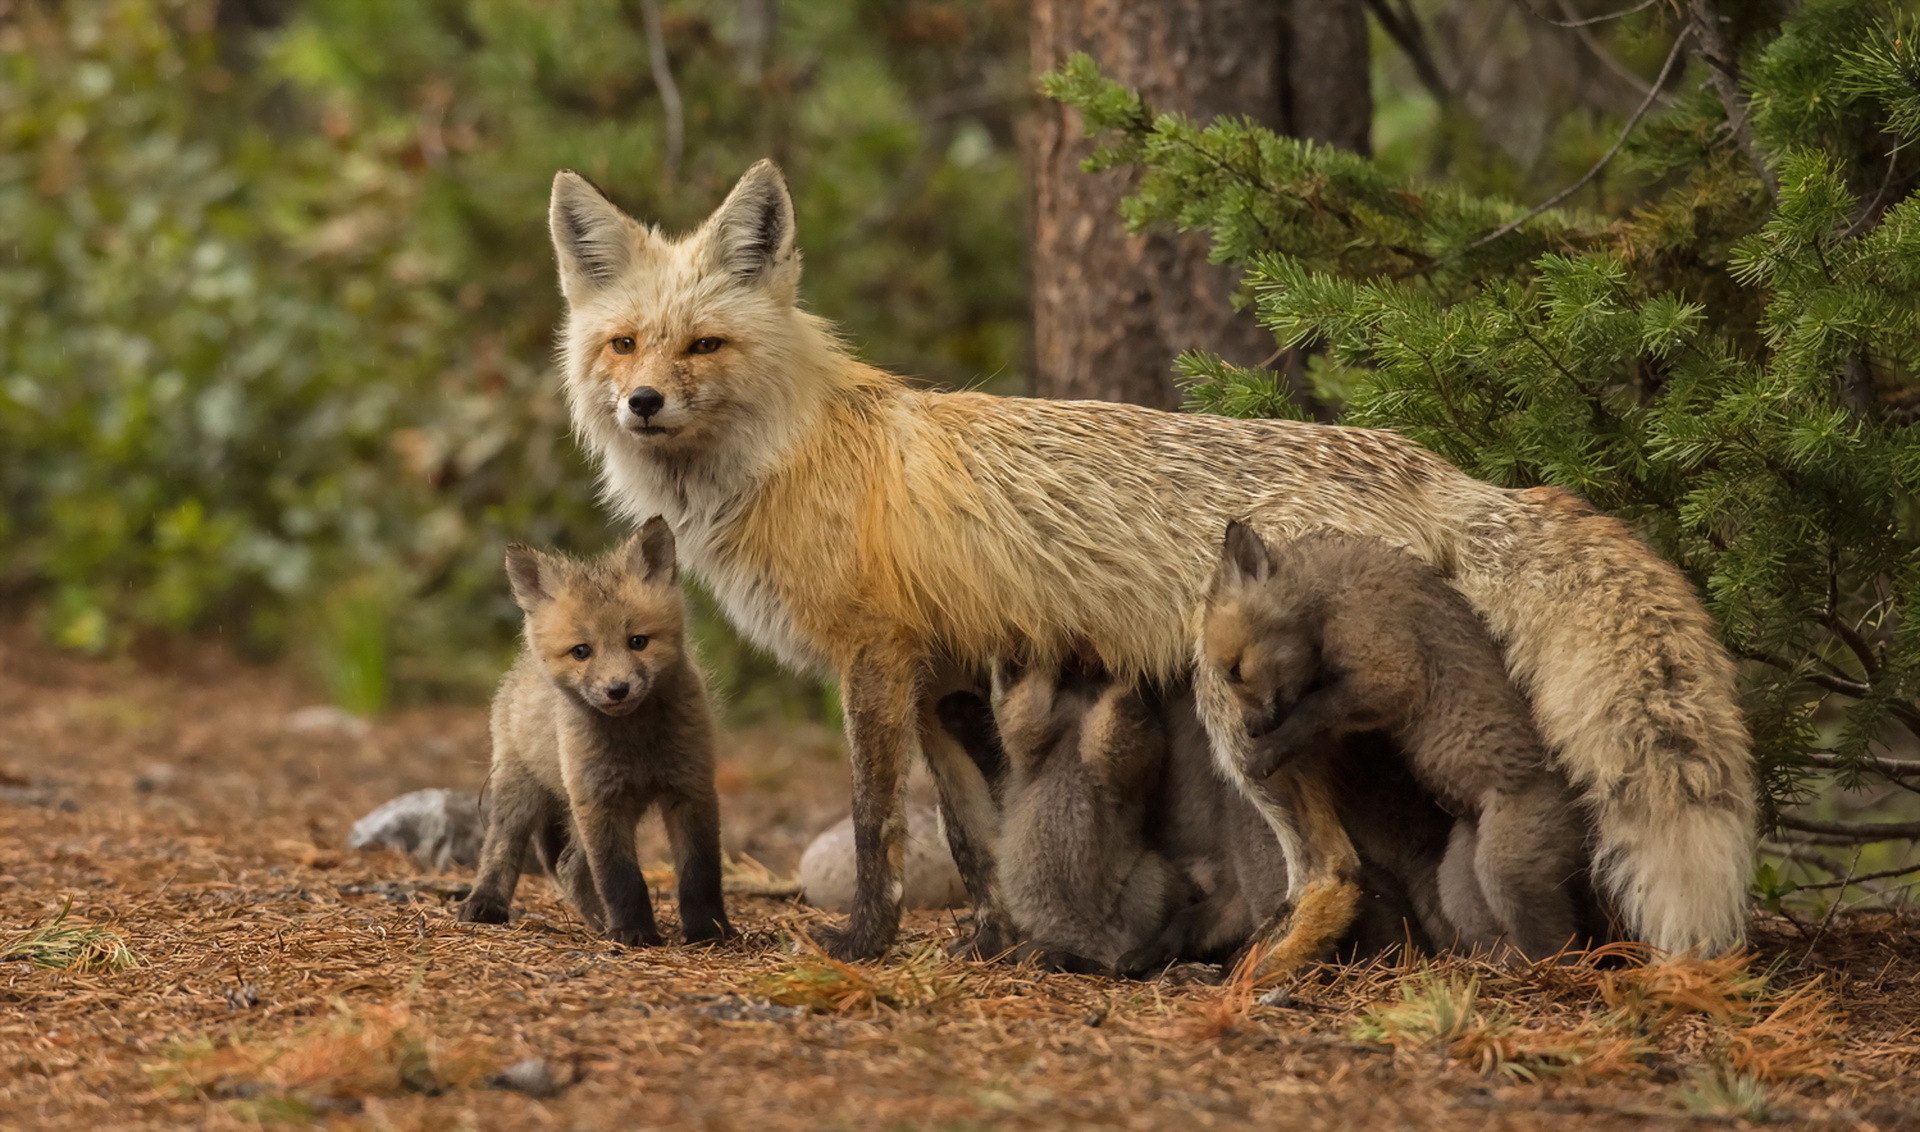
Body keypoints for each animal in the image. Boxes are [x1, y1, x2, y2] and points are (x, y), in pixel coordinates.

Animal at [460, 518, 729, 943]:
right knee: (504, 848)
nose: (617, 689)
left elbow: (700, 873)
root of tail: (519, 666)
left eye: (638, 642)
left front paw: (709, 931)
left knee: (569, 865)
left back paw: (599, 923)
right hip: (519, 792)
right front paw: (634, 933)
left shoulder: (691, 788)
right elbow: (621, 879)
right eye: (581, 651)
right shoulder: (598, 800)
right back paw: (487, 903)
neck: (636, 743)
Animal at [541, 162, 1758, 966]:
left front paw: (866, 945)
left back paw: (1261, 979)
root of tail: (1440, 469)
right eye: (624, 344)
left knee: (1332, 870)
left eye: (703, 346)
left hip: (1238, 712)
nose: (641, 402)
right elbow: (976, 836)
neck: (792, 454)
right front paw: (995, 943)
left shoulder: (874, 663)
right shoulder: (942, 677)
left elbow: (878, 821)